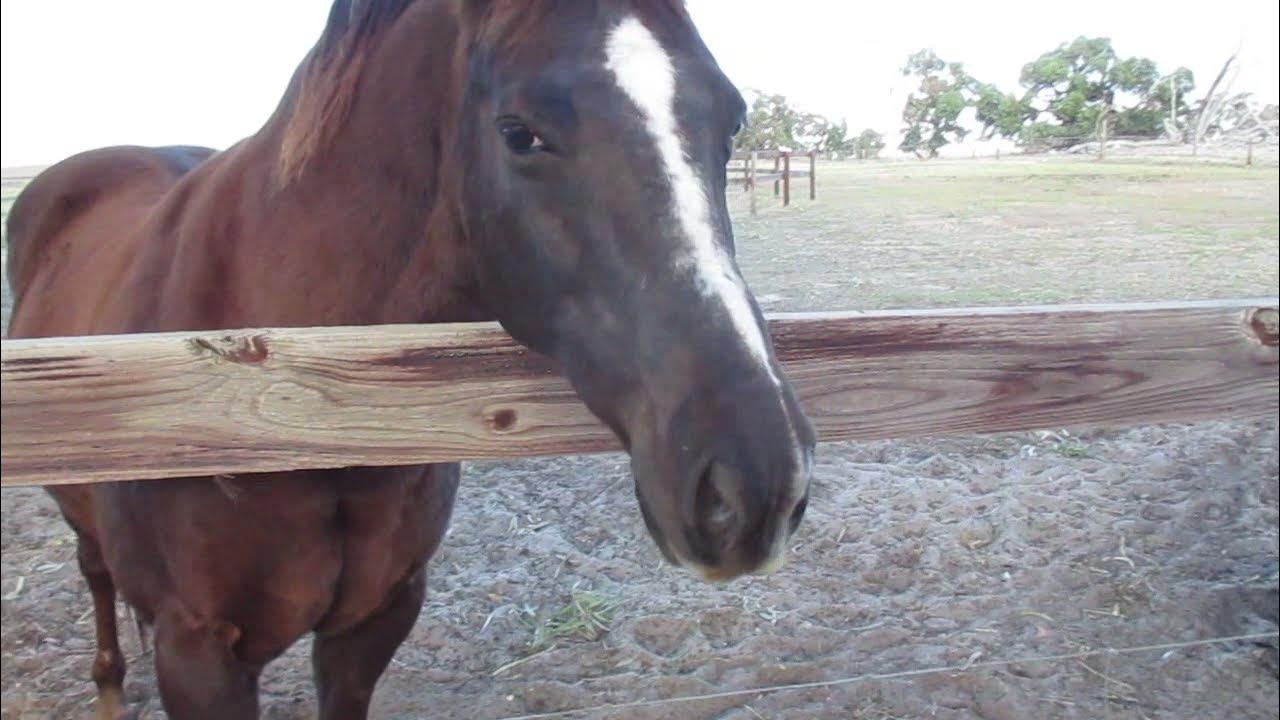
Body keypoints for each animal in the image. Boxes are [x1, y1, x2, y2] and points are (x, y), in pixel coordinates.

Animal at [5, 1, 815, 717]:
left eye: (731, 121)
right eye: (519, 133)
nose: (755, 482)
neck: (279, 394)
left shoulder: (374, 621)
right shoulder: (196, 653)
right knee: (93, 571)